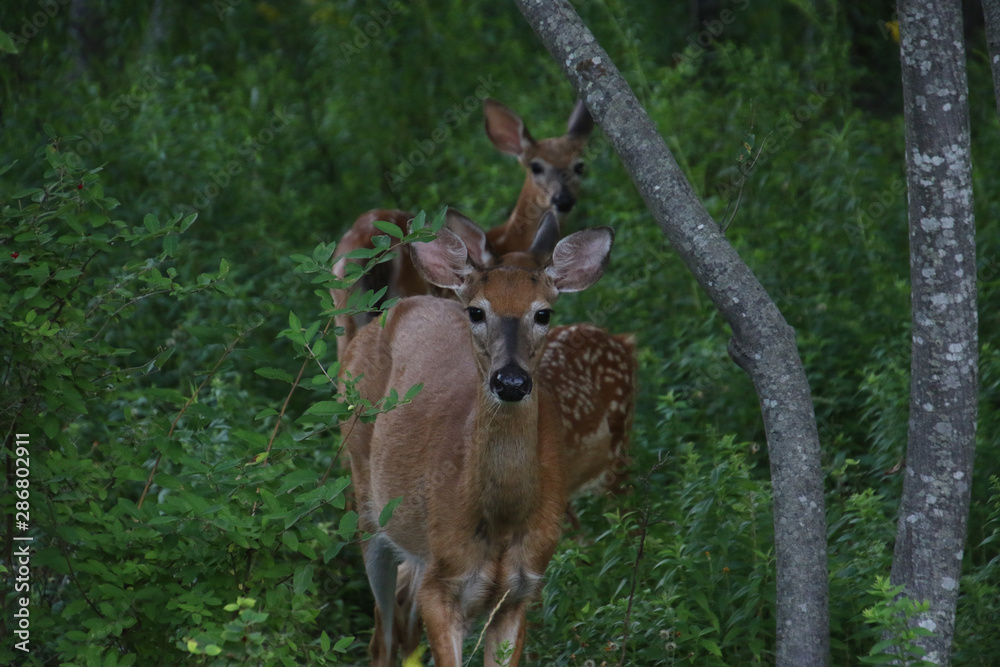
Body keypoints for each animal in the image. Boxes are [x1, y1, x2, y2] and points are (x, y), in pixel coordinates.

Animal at [341, 211, 614, 666]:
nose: (511, 381)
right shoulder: (442, 586)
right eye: (476, 311)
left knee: (403, 628)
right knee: (383, 636)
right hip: (367, 499)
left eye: (544, 313)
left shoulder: (520, 593)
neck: (501, 521)